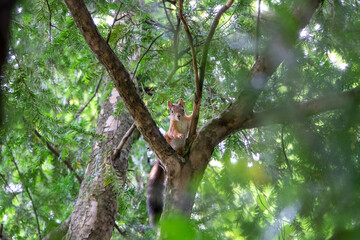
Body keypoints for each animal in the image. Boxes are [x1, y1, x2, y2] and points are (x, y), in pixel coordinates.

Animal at [146, 98, 193, 226]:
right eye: (172, 111)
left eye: (182, 109)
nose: (178, 116)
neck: (180, 121)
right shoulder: (172, 128)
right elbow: (174, 133)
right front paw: (180, 135)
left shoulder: (188, 122)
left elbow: (191, 119)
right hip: (166, 140)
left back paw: (180, 153)